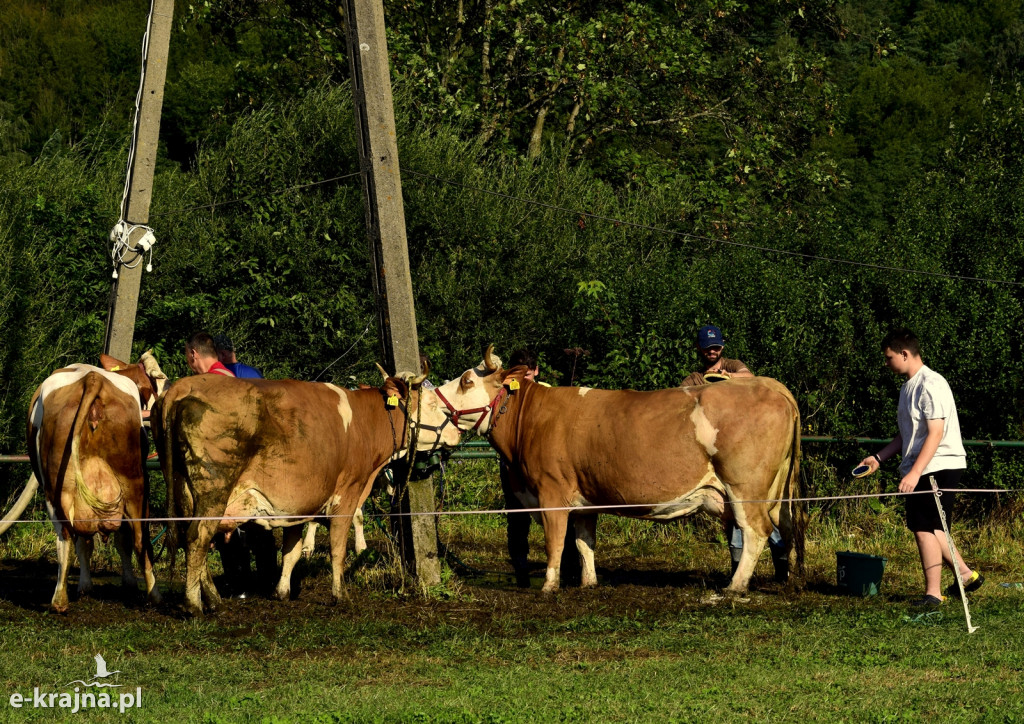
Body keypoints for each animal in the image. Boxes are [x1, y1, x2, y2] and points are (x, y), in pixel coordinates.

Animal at [436, 350, 802, 593]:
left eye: (467, 380)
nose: (434, 399)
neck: (531, 418)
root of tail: (769, 385)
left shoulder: (551, 491)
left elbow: (555, 541)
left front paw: (550, 585)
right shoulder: (584, 499)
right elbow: (584, 541)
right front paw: (588, 583)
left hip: (745, 486)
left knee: (756, 530)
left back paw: (735, 588)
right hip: (774, 489)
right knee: (781, 528)